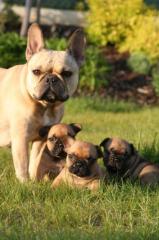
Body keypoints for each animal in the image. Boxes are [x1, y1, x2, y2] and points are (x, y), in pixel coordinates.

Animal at [0, 23, 85, 182]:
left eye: (67, 73)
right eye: (36, 71)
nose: (51, 78)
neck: (45, 106)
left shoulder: (40, 139)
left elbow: (34, 163)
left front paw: (34, 181)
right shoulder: (20, 140)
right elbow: (23, 165)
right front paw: (25, 183)